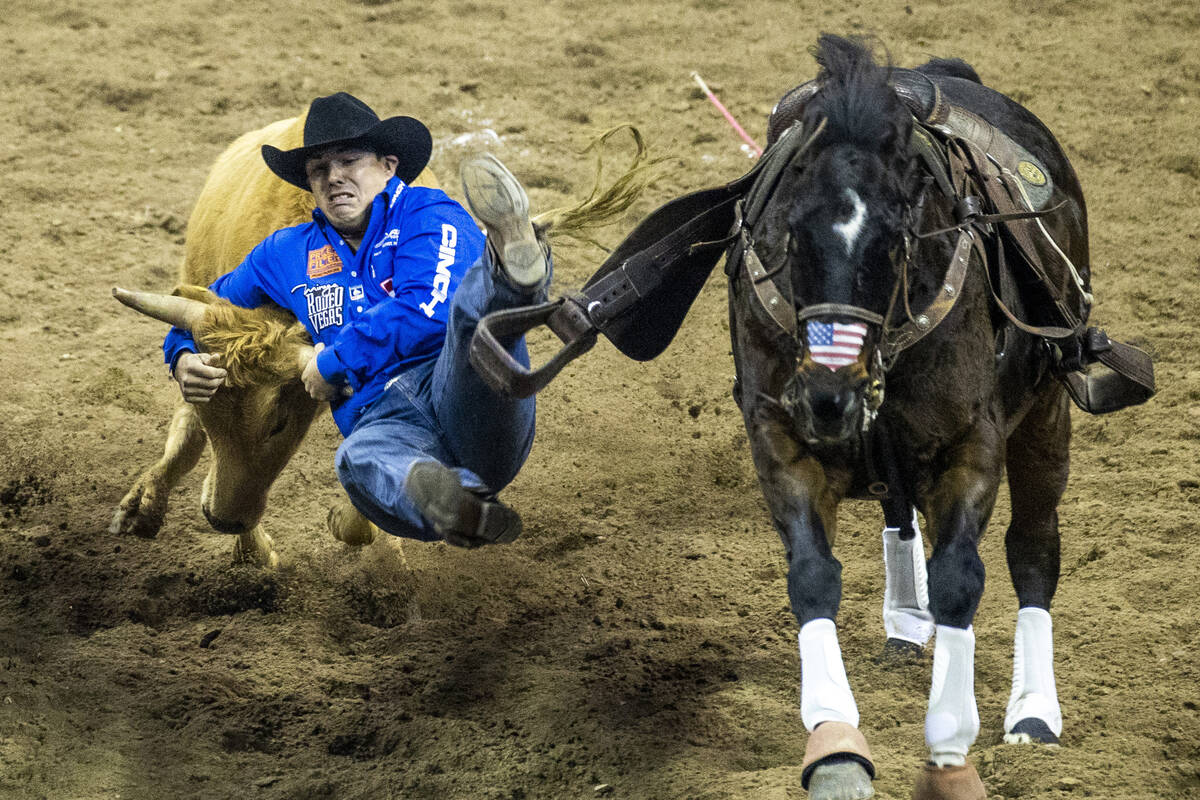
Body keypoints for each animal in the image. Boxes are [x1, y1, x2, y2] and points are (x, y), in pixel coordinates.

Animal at [720, 37, 1089, 800]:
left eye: (895, 239)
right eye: (793, 234)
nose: (828, 394)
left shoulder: (971, 443)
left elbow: (961, 580)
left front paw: (949, 750)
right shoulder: (779, 435)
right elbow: (813, 576)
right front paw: (833, 743)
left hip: (1047, 414)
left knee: (1033, 549)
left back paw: (1034, 712)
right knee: (900, 509)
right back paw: (905, 621)